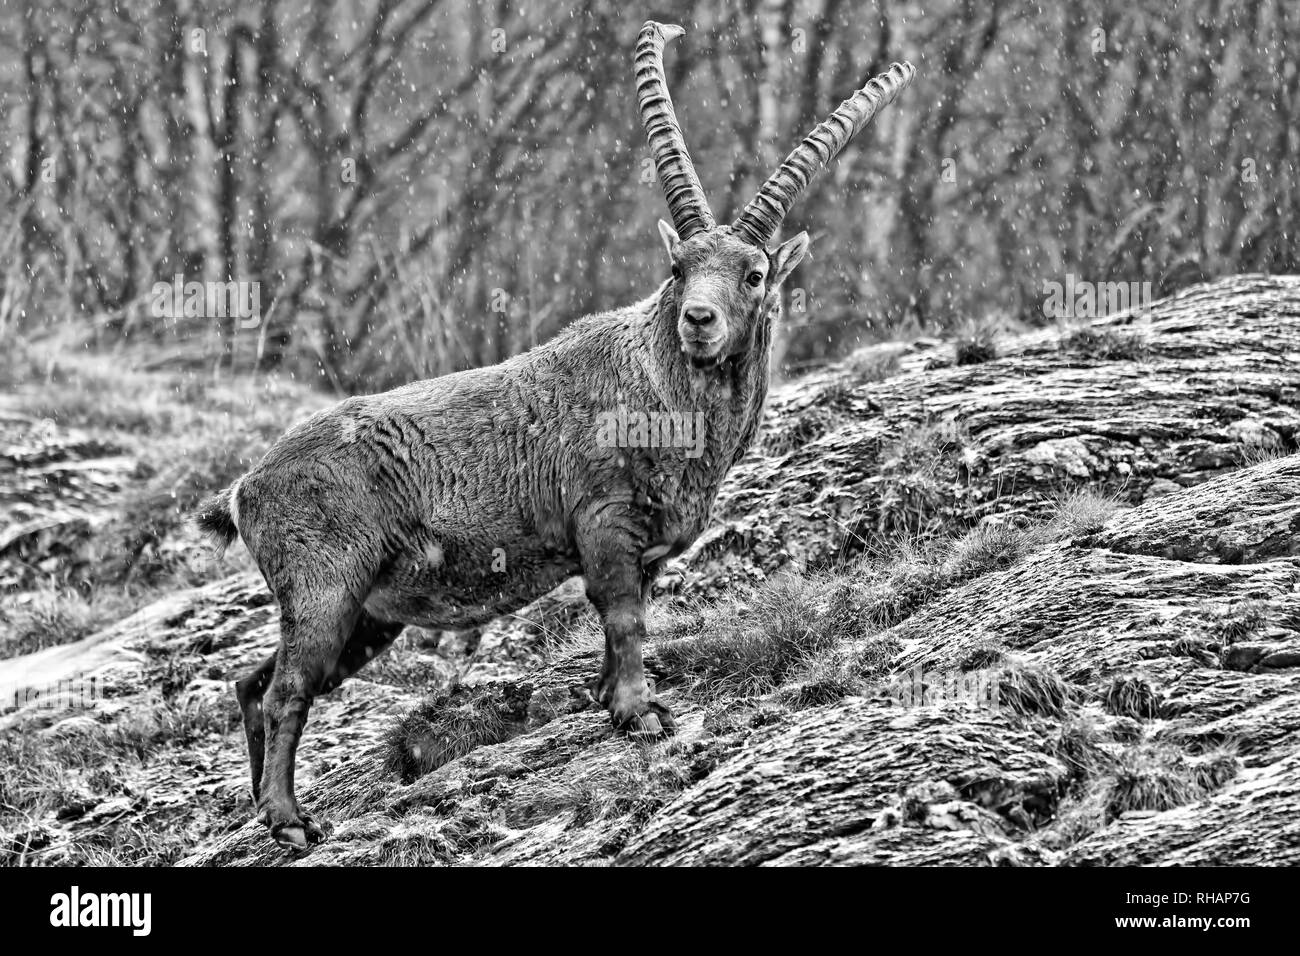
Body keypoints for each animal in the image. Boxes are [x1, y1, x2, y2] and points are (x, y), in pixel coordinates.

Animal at [196, 20, 915, 849]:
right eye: (678, 265)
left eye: (755, 274)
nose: (698, 320)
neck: (660, 394)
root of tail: (245, 488)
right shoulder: (603, 519)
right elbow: (624, 616)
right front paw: (639, 714)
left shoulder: (647, 543)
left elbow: (626, 620)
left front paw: (610, 701)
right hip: (325, 587)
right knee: (287, 690)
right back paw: (289, 820)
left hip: (367, 615)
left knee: (254, 684)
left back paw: (260, 809)